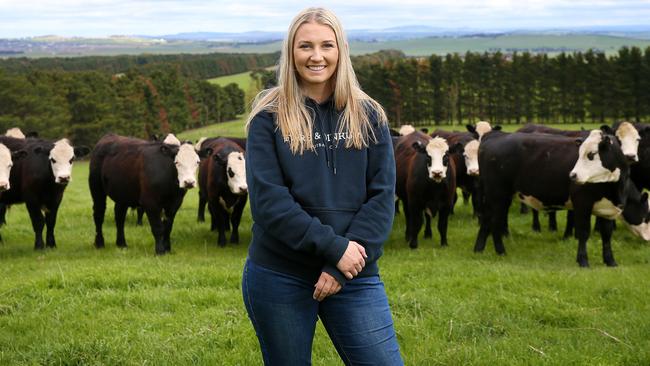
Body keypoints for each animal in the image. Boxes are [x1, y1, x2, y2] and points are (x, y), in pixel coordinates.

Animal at [470, 130, 648, 268]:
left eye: (591, 154)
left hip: (492, 197)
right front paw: (583, 261)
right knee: (495, 223)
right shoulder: (582, 204)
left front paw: (610, 261)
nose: (573, 175)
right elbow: (583, 233)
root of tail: (494, 136)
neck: (615, 187)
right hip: (498, 196)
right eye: (647, 216)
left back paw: (479, 249)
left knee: (486, 220)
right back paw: (500, 251)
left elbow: (606, 235)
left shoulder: (607, 209)